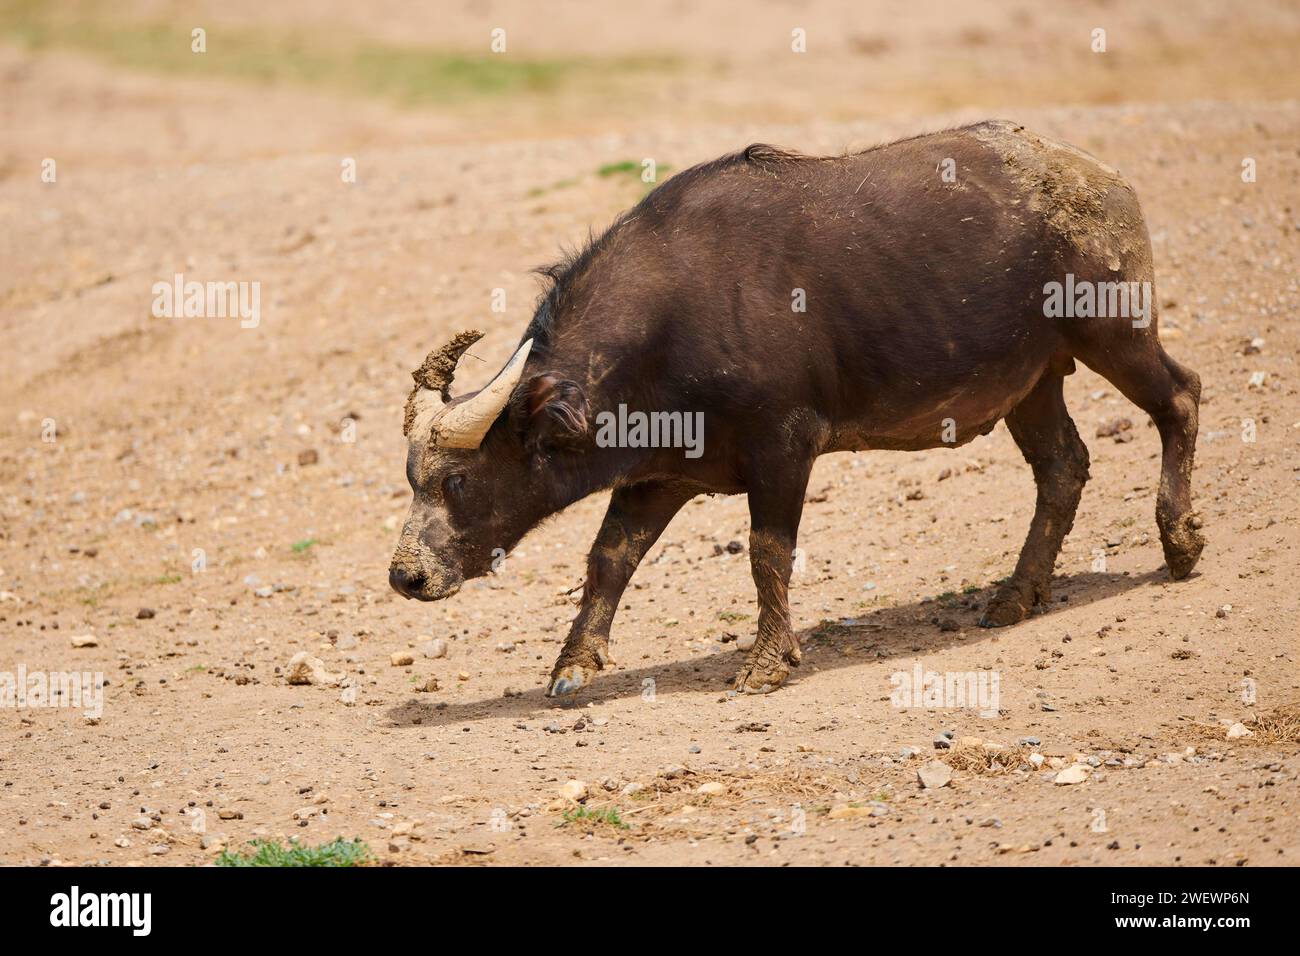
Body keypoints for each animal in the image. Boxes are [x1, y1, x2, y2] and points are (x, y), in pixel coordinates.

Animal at [387, 123, 1206, 697]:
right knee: (1064, 466)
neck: (672, 319)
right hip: (1031, 384)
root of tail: (1098, 179)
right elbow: (608, 557)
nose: (405, 577)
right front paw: (573, 664)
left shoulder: (784, 447)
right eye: (411, 480)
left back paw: (1179, 543)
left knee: (1182, 397)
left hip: (1114, 330)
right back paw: (1016, 594)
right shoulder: (660, 473)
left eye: (457, 481)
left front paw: (767, 662)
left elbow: (766, 552)